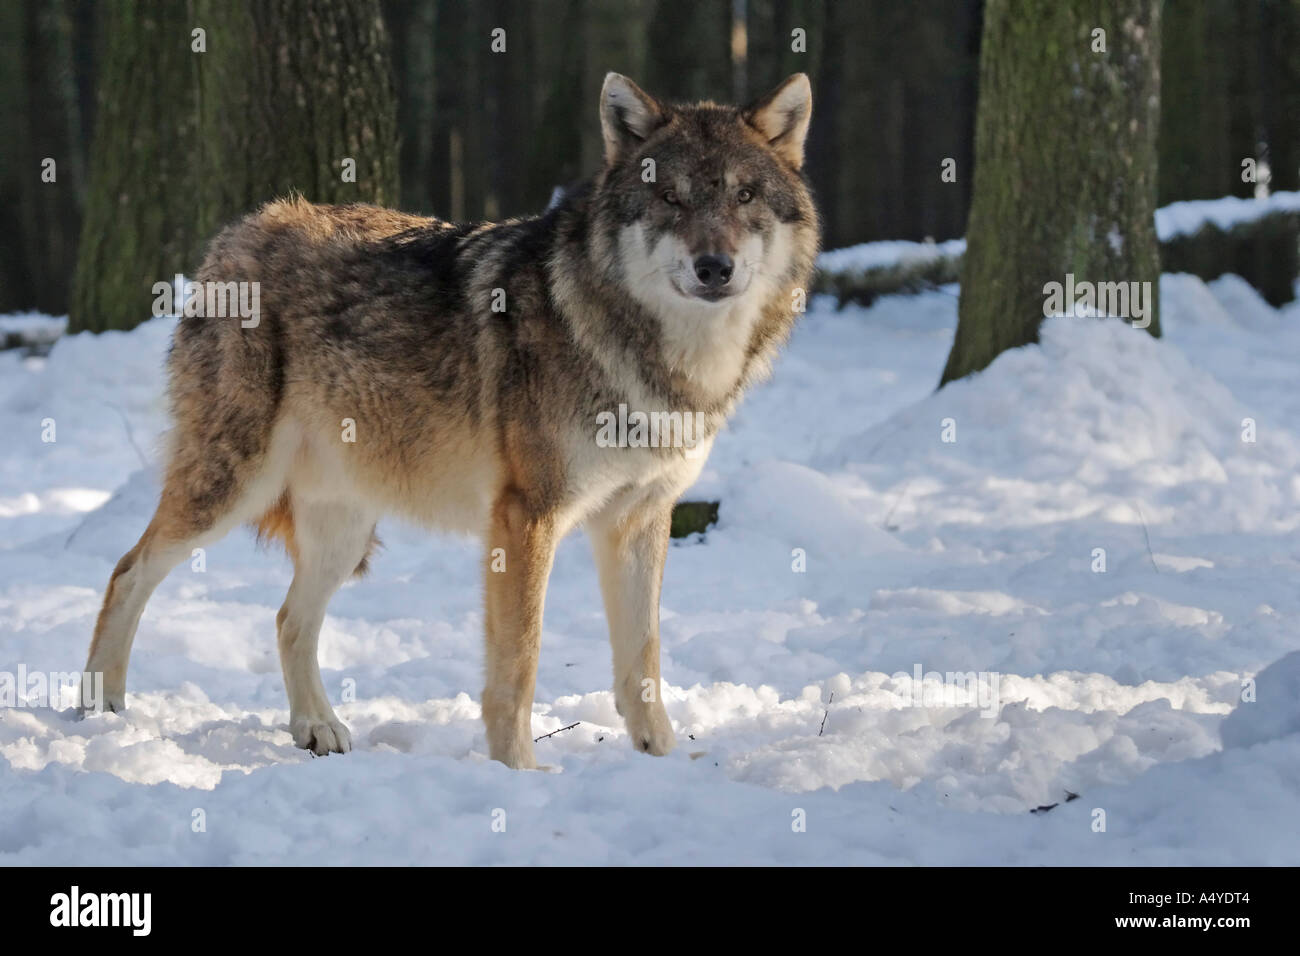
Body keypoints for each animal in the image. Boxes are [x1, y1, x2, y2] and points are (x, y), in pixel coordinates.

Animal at [81, 72, 816, 770]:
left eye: (745, 196)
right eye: (671, 199)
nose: (714, 267)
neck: (663, 361)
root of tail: (239, 230)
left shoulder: (639, 519)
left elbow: (644, 660)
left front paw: (662, 760)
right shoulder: (526, 517)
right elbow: (519, 664)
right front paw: (519, 772)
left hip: (345, 527)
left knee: (289, 617)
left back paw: (317, 728)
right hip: (234, 487)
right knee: (126, 571)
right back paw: (99, 709)